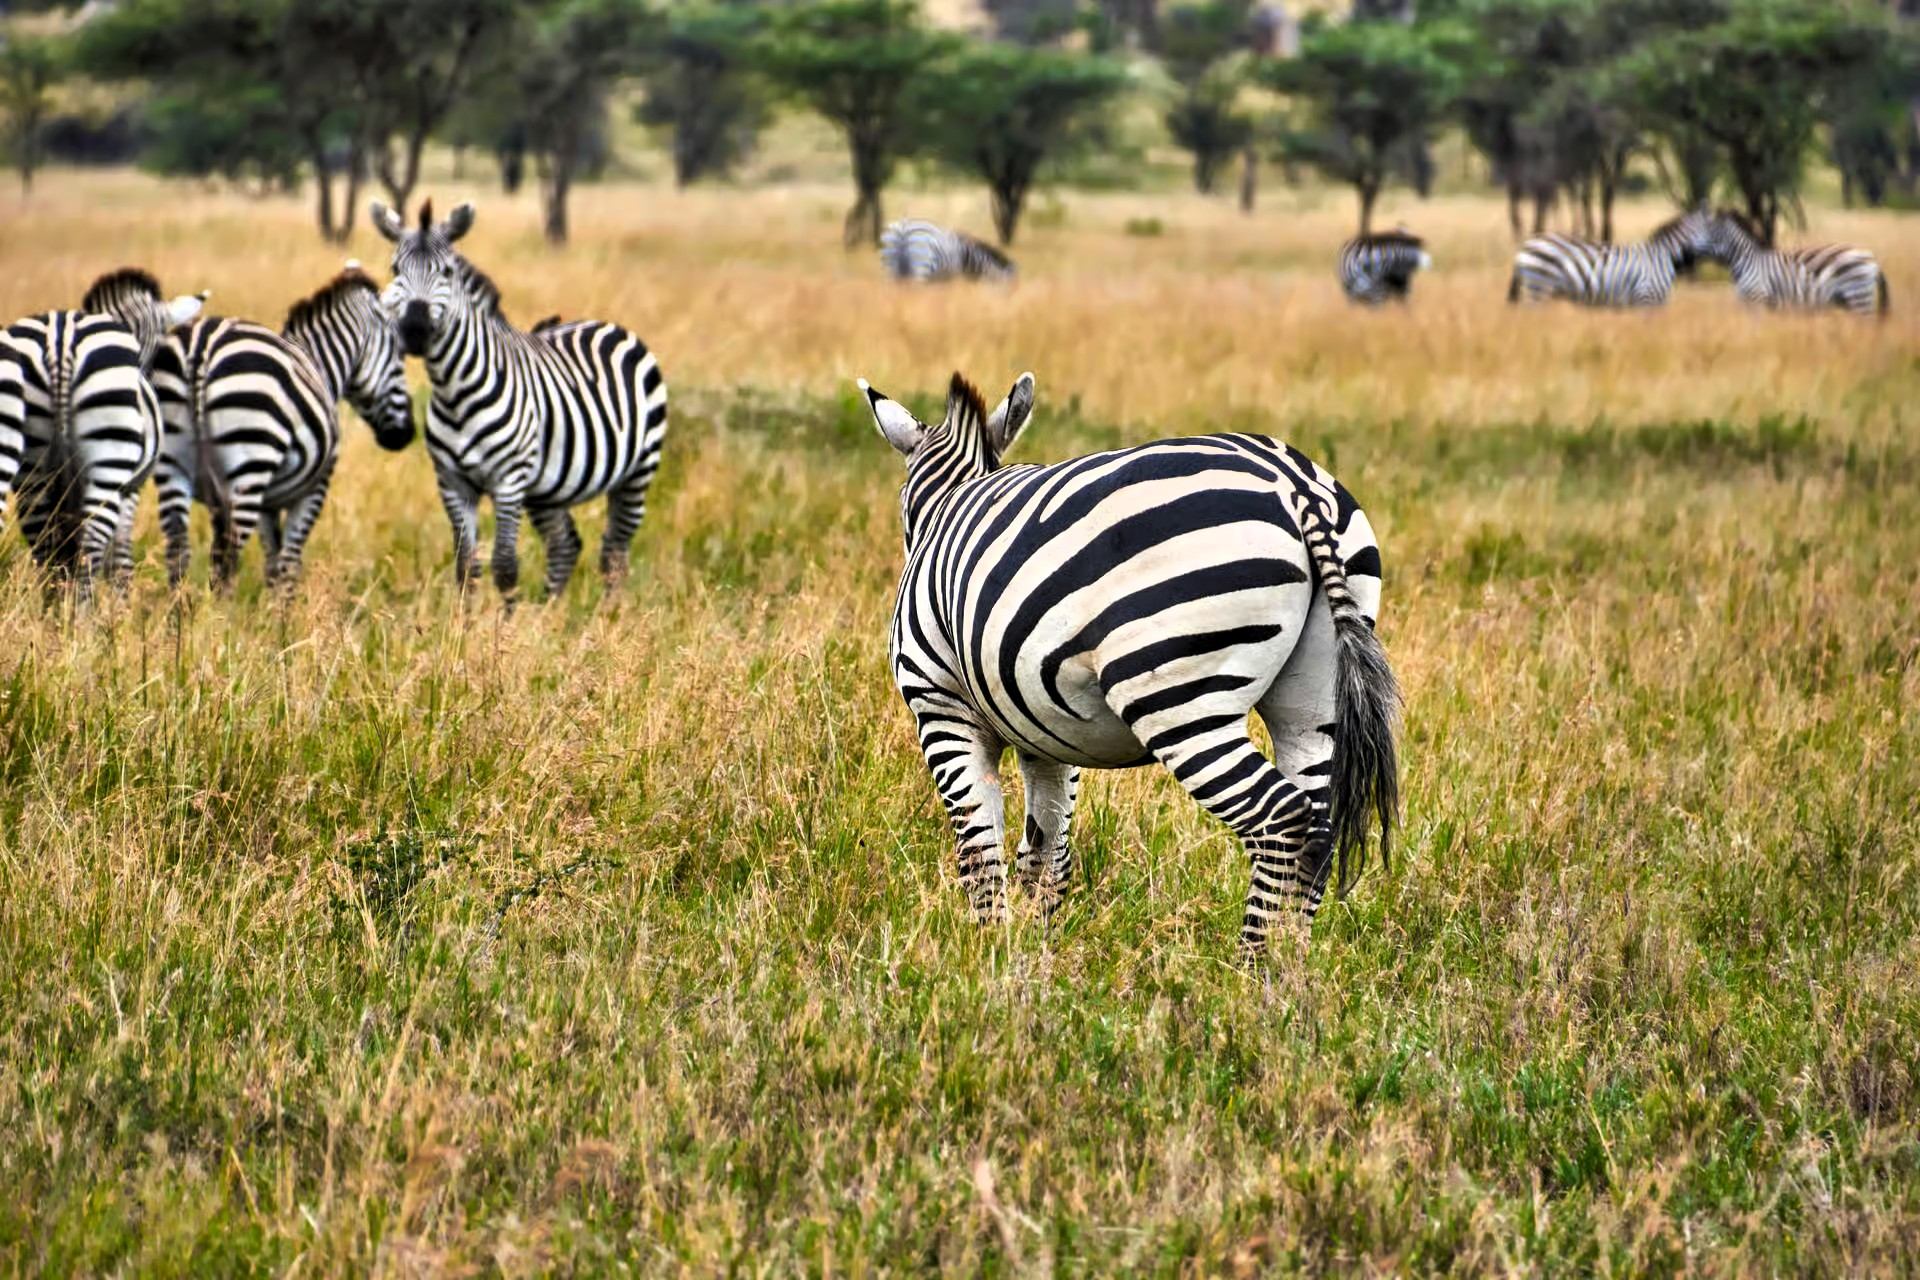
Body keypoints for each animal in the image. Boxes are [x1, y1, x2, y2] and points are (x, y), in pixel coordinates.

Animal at [371, 199, 669, 600]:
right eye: (395, 269)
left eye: (446, 271)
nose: (415, 330)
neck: (454, 392)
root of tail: (606, 324)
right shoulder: (452, 482)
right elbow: (466, 568)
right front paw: (464, 620)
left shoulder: (509, 481)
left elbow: (505, 567)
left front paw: (505, 620)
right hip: (548, 489)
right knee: (565, 544)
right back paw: (549, 612)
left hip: (638, 472)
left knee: (614, 554)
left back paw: (612, 613)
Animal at [858, 370, 1400, 957]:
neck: (951, 499)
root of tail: (1295, 482)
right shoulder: (1044, 733)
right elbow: (1045, 854)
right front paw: (1037, 951)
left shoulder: (942, 708)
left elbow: (981, 852)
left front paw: (988, 954)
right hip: (1316, 696)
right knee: (1319, 829)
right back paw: (1291, 966)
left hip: (1176, 693)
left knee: (1283, 823)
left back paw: (1249, 970)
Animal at [879, 219, 1017, 283]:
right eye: (1009, 289)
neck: (965, 255)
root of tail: (903, 229)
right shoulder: (951, 276)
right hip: (920, 267)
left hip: (891, 268)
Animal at [1699, 210, 1889, 317]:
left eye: (1704, 232)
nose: (1694, 253)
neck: (1747, 261)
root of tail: (1872, 259)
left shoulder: (1758, 299)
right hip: (1855, 300)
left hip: (1859, 296)